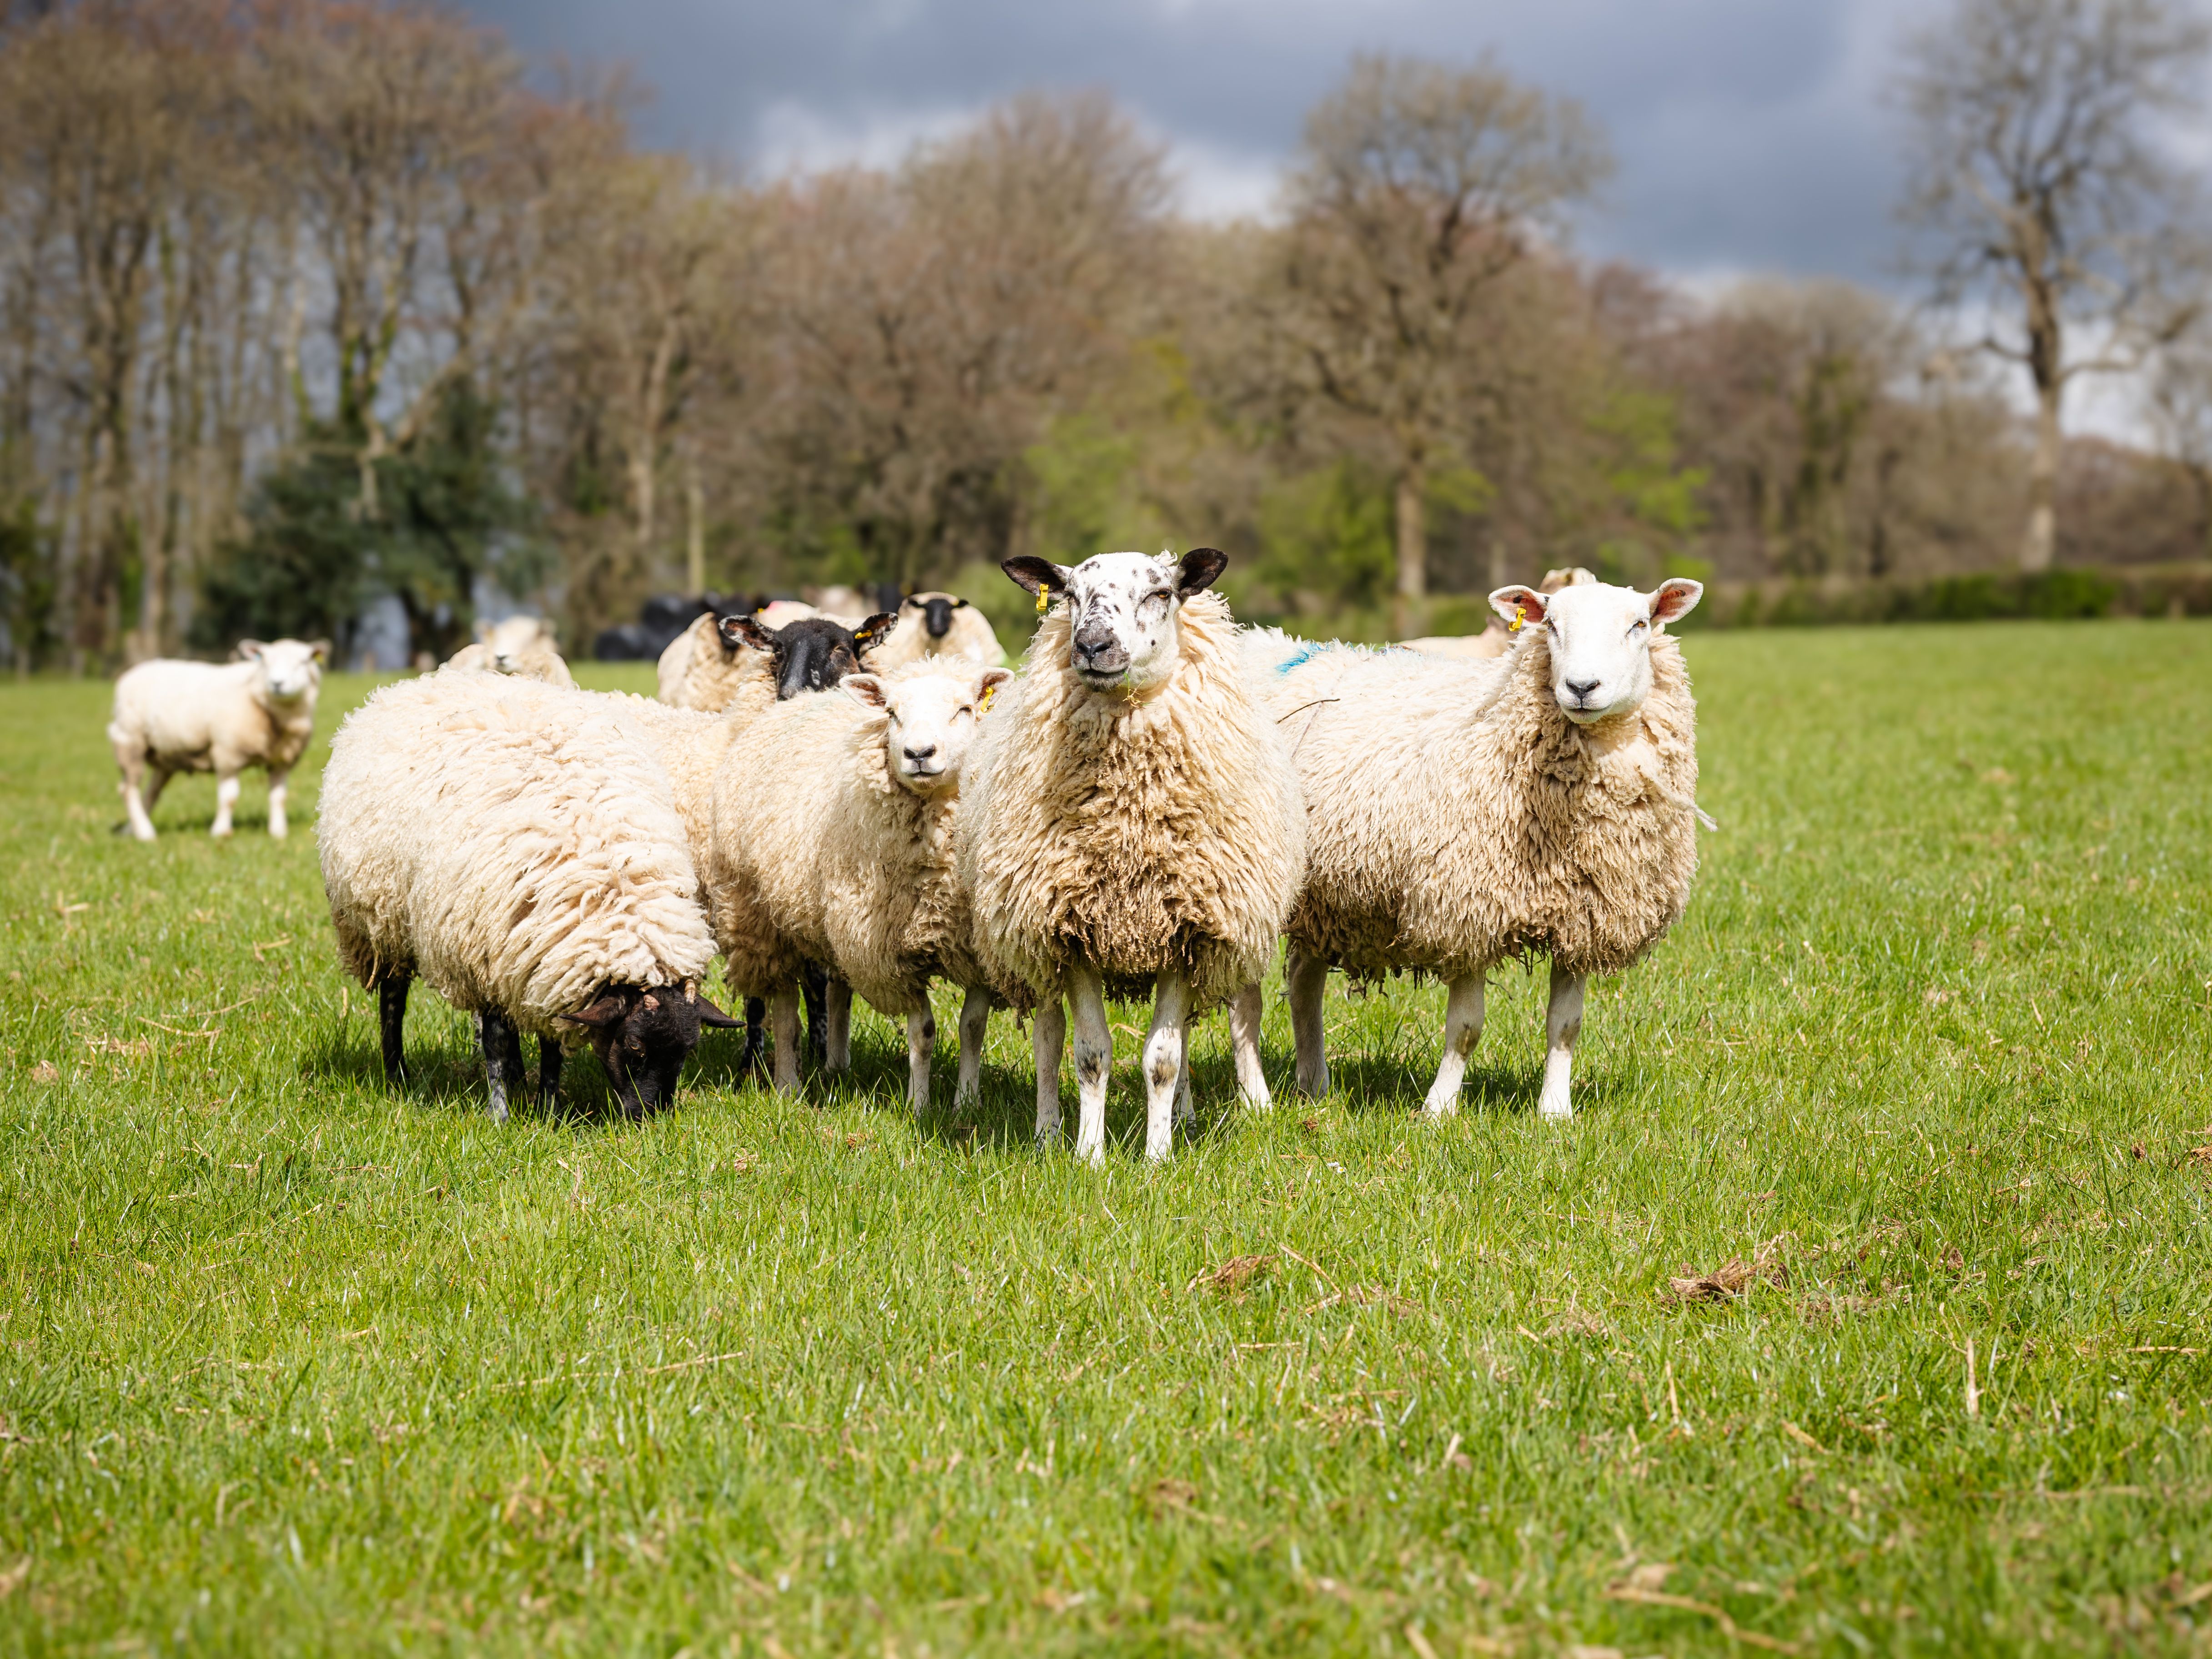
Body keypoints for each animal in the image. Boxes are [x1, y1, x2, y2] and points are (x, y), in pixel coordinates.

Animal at [109, 638, 327, 842]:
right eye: (265, 661)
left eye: (304, 661)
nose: (277, 684)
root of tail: (134, 672)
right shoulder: (227, 753)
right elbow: (230, 798)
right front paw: (220, 832)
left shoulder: (282, 761)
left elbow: (279, 798)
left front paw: (278, 832)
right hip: (130, 740)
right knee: (128, 790)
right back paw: (145, 833)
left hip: (164, 758)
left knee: (151, 793)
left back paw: (131, 830)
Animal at [318, 669, 740, 1121]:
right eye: (634, 1046)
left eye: (688, 1051)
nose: (647, 1116)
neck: (612, 886)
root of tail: (417, 683)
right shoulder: (483, 961)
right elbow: (495, 1041)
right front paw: (500, 1114)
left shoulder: (549, 963)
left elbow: (550, 1044)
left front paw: (549, 1109)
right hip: (382, 921)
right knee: (393, 998)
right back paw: (397, 1073)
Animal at [705, 656, 1013, 1108]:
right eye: (892, 713)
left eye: (965, 710)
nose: (919, 754)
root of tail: (798, 701)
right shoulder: (890, 957)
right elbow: (923, 1034)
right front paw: (919, 1106)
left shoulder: (976, 950)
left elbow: (972, 1027)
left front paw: (967, 1103)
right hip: (761, 916)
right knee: (784, 1009)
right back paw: (788, 1086)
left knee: (838, 991)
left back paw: (836, 1064)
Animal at [956, 548, 1305, 1163]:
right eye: (1071, 595)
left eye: (1161, 593)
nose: (1093, 645)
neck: (1128, 826)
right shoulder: (1071, 931)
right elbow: (1090, 1054)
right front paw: (1088, 1155)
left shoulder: (1187, 930)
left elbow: (1163, 1058)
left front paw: (1158, 1154)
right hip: (1032, 933)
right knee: (1047, 1035)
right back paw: (1048, 1130)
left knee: (1184, 1034)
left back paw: (1184, 1117)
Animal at [1235, 577, 1703, 1121]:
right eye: (1551, 625)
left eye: (1639, 625)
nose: (1582, 688)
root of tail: (1261, 641)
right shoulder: (1466, 911)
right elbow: (1465, 1028)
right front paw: (1439, 1110)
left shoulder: (1581, 917)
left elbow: (1566, 1024)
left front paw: (1555, 1112)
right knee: (1246, 1001)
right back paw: (1256, 1097)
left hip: (1324, 900)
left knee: (1303, 985)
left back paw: (1315, 1086)